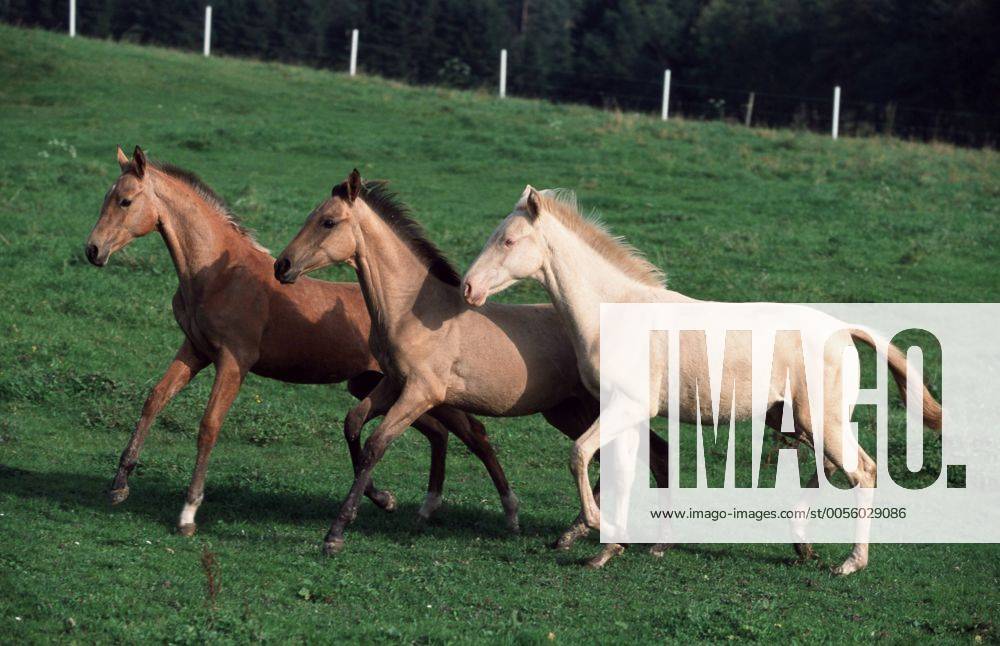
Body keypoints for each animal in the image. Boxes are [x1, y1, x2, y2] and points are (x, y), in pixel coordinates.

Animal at [84, 146, 519, 536]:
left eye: (125, 201)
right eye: (107, 197)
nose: (93, 250)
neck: (218, 274)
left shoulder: (233, 361)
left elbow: (209, 425)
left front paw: (188, 513)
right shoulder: (195, 349)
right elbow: (155, 399)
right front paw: (119, 486)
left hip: (426, 390)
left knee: (473, 433)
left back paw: (507, 513)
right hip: (377, 385)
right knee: (434, 432)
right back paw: (404, 502)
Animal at [273, 170, 671, 563]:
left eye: (328, 221)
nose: (282, 266)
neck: (412, 311)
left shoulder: (421, 393)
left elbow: (376, 444)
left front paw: (336, 533)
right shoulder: (393, 383)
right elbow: (353, 423)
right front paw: (382, 499)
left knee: (650, 454)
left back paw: (646, 542)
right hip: (567, 412)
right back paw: (576, 537)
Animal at [462, 186, 943, 574]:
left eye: (508, 240)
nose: (468, 288)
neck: (615, 312)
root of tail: (844, 329)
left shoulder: (626, 406)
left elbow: (580, 455)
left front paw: (601, 531)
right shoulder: (625, 412)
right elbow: (622, 470)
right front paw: (605, 548)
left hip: (821, 421)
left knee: (863, 471)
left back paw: (849, 563)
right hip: (796, 420)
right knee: (830, 470)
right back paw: (801, 544)